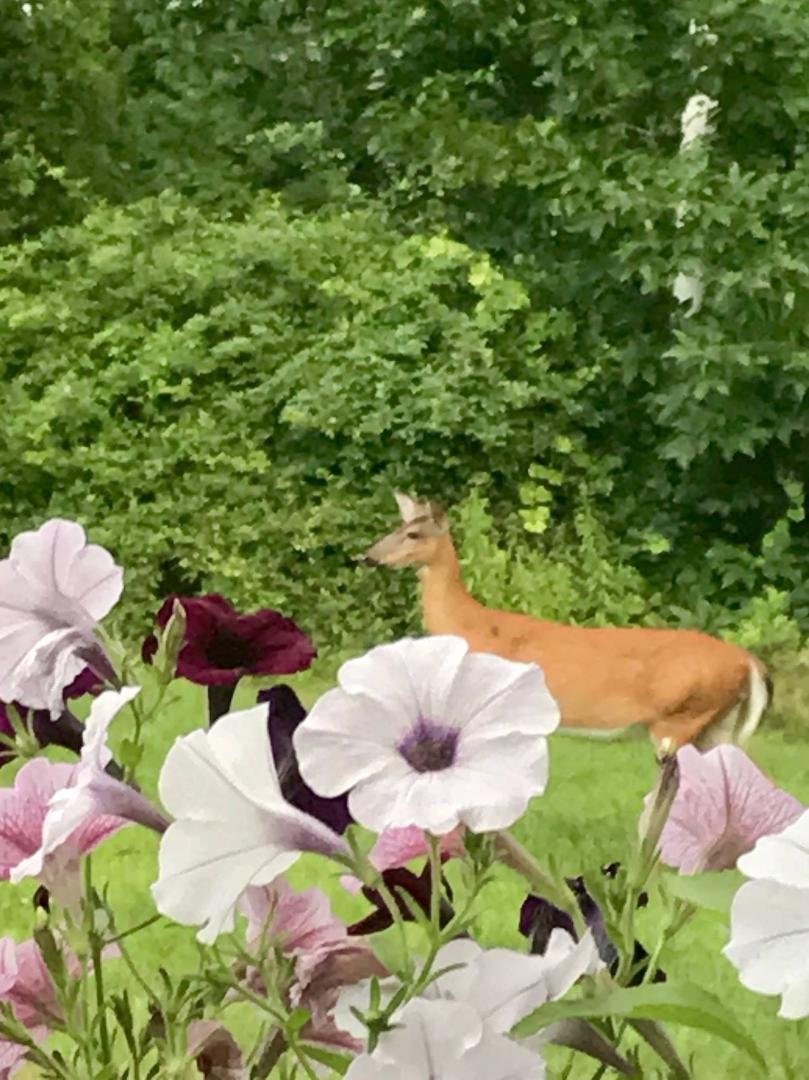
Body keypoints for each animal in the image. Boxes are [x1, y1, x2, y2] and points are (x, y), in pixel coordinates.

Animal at [361, 492, 772, 752]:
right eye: (393, 529)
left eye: (413, 534)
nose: (368, 556)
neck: (469, 625)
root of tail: (747, 661)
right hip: (718, 725)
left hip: (682, 717)